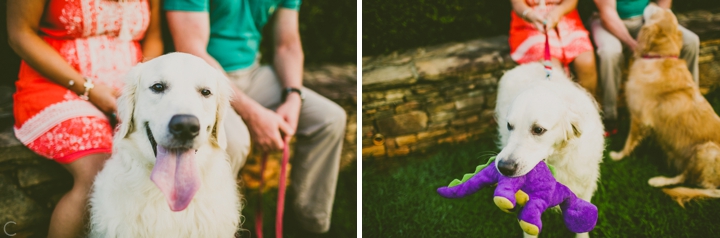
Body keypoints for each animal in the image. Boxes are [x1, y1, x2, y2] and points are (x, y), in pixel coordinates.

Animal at [608, 2, 720, 205]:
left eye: (655, 11)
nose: (651, 3)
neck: (660, 57)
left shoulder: (638, 117)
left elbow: (628, 142)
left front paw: (618, 156)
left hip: (707, 151)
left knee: (686, 178)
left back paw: (659, 180)